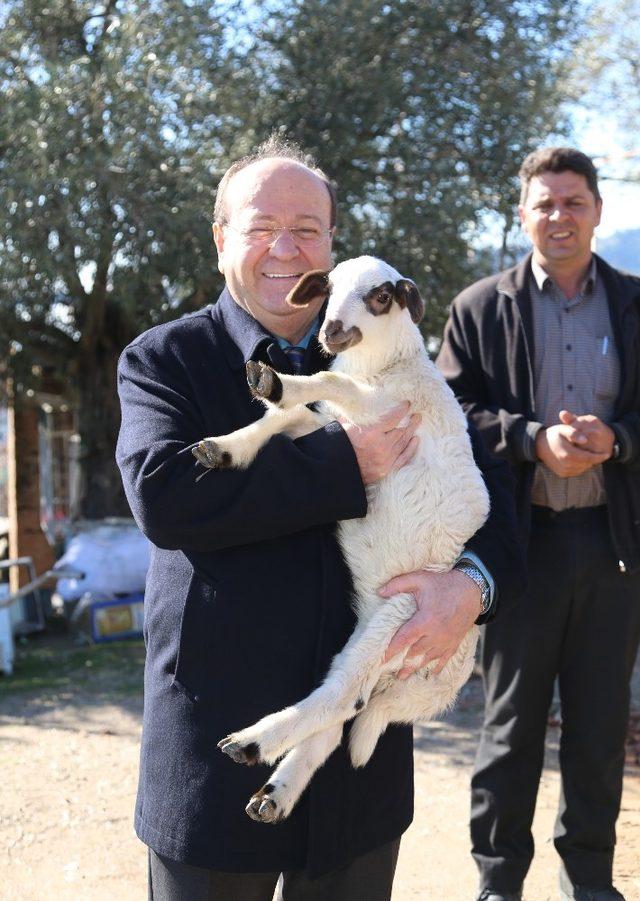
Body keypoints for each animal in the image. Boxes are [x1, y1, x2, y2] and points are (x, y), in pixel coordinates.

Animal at [192, 253, 488, 824]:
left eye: (382, 296)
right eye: (327, 288)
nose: (330, 330)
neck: (387, 368)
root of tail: (449, 681)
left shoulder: (381, 412)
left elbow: (324, 382)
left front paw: (275, 382)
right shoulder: (342, 430)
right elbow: (284, 422)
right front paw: (224, 448)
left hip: (401, 618)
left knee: (338, 698)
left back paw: (252, 743)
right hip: (376, 638)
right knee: (341, 714)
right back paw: (276, 793)